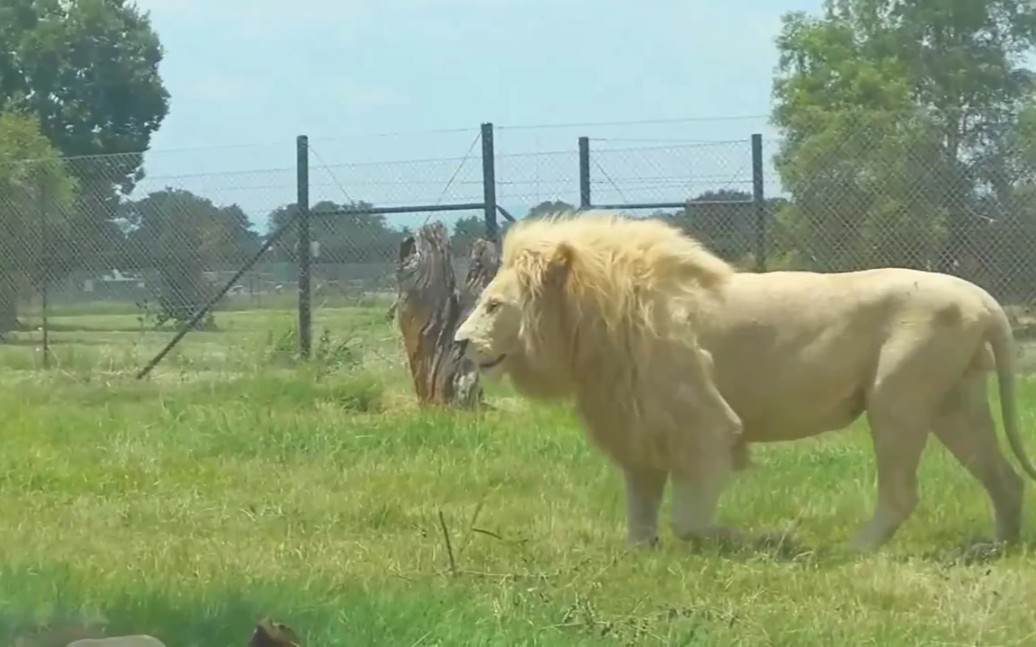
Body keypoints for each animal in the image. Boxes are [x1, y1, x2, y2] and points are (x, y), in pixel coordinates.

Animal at [457, 211, 1036, 550]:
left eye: (493, 305)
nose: (460, 342)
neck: (591, 329)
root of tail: (981, 297)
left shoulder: (702, 424)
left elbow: (689, 517)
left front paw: (733, 540)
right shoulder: (639, 426)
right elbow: (640, 511)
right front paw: (642, 555)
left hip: (897, 397)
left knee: (901, 493)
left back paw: (852, 552)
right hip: (954, 402)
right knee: (1004, 478)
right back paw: (1000, 547)